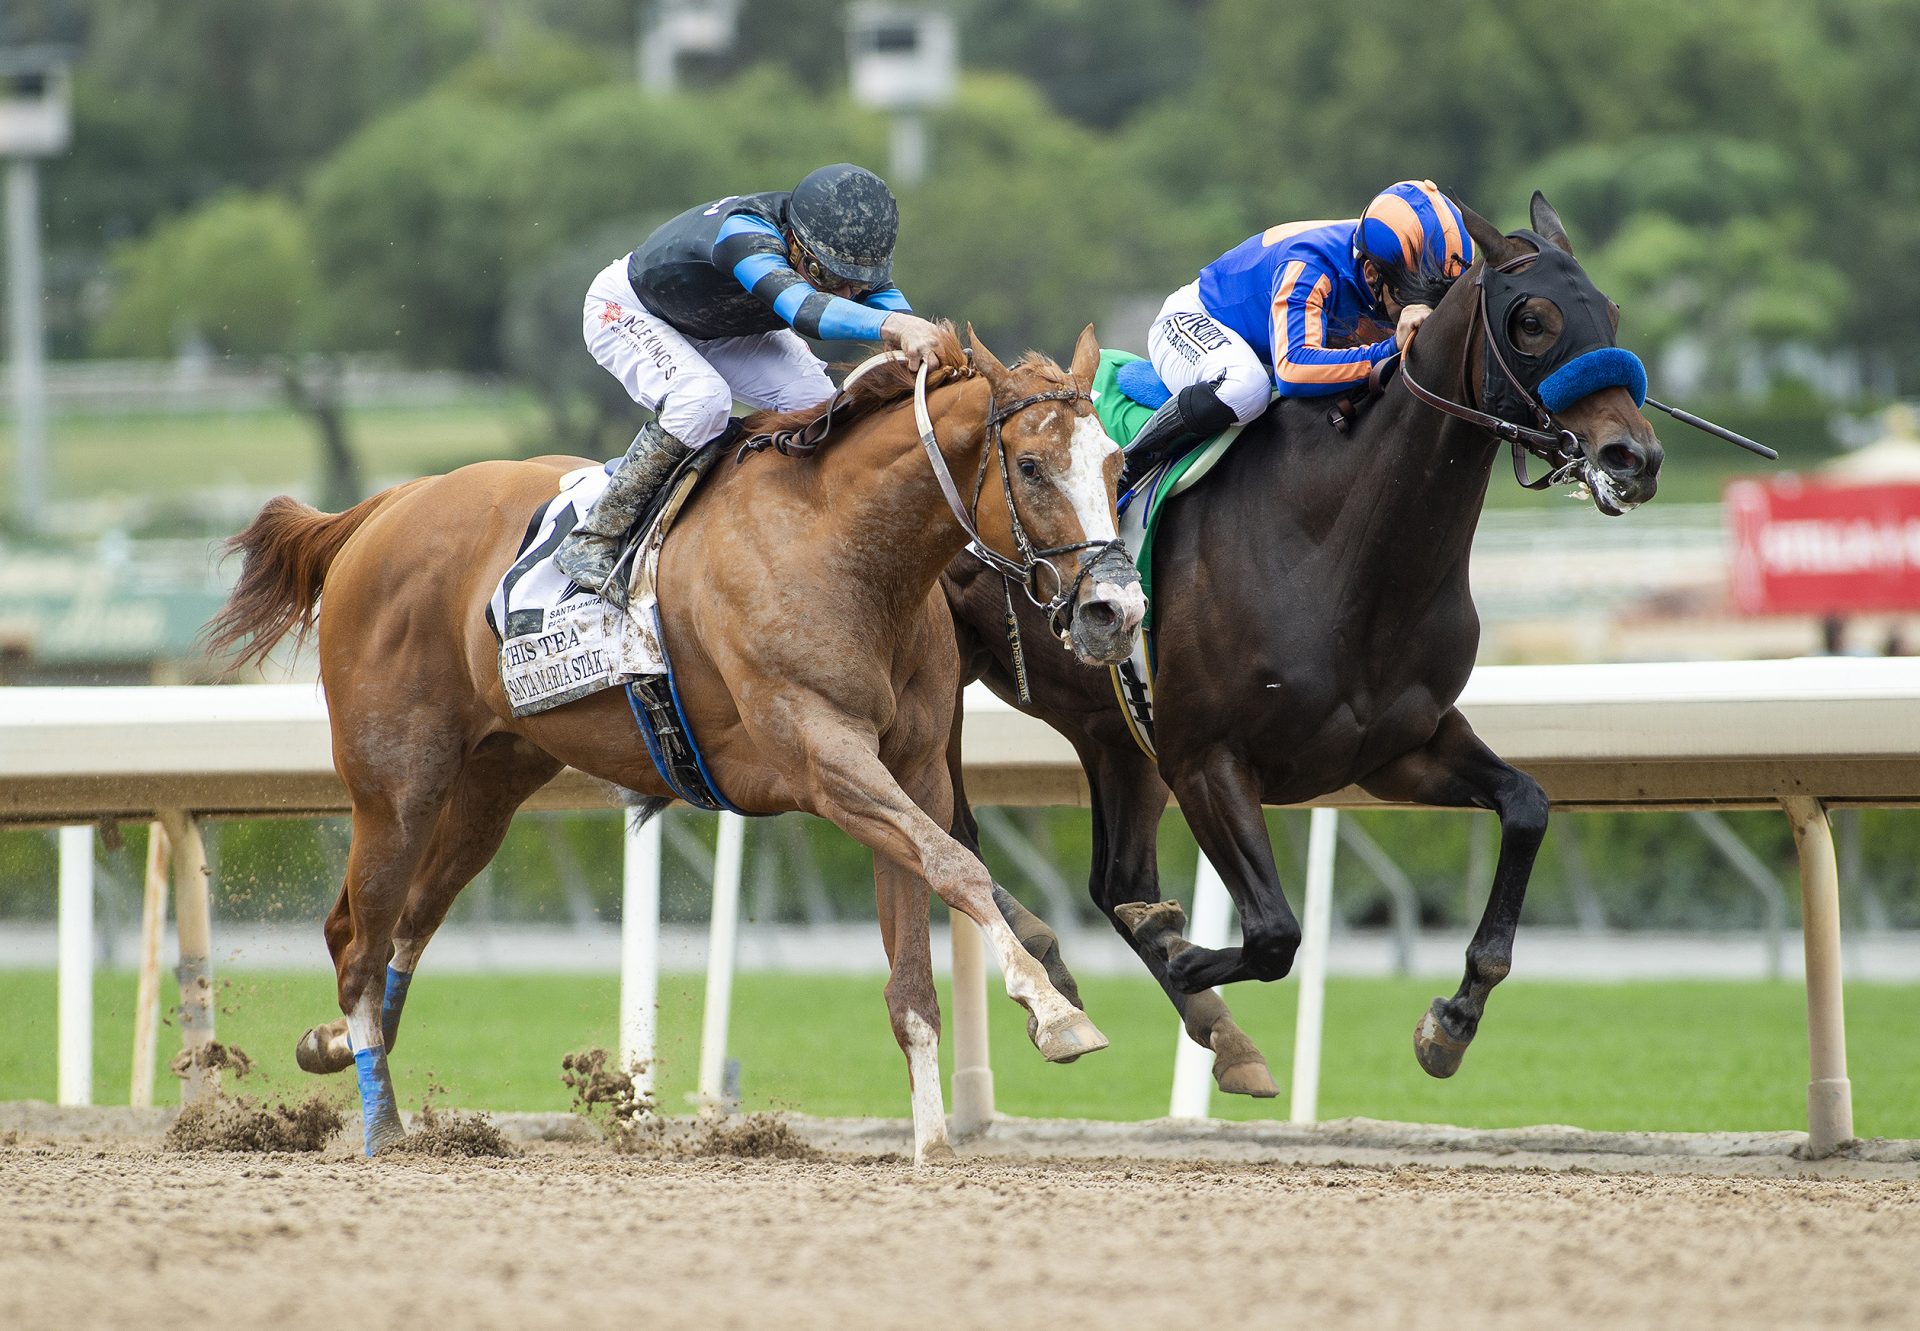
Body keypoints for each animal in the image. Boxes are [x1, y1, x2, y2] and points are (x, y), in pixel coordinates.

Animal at [210, 324, 1136, 1160]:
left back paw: (335, 1046)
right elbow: (957, 865)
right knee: (359, 945)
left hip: (490, 787)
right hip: (396, 785)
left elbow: (916, 966)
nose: (1115, 611)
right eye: (1030, 465)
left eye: (1116, 465)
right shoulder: (825, 759)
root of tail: (383, 509)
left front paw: (934, 1141)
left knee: (398, 926)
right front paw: (1056, 1010)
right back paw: (384, 1128)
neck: (843, 547)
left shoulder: (912, 771)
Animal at [944, 194, 1666, 1090]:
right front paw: (1176, 952)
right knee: (951, 829)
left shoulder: (1399, 748)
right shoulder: (1206, 758)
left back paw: (1203, 1024)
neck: (1339, 548)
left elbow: (1528, 806)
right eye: (1532, 320)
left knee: (1110, 876)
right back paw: (1058, 972)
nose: (1634, 457)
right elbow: (1272, 933)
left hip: (1110, 728)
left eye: (1611, 312)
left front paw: (1453, 1018)